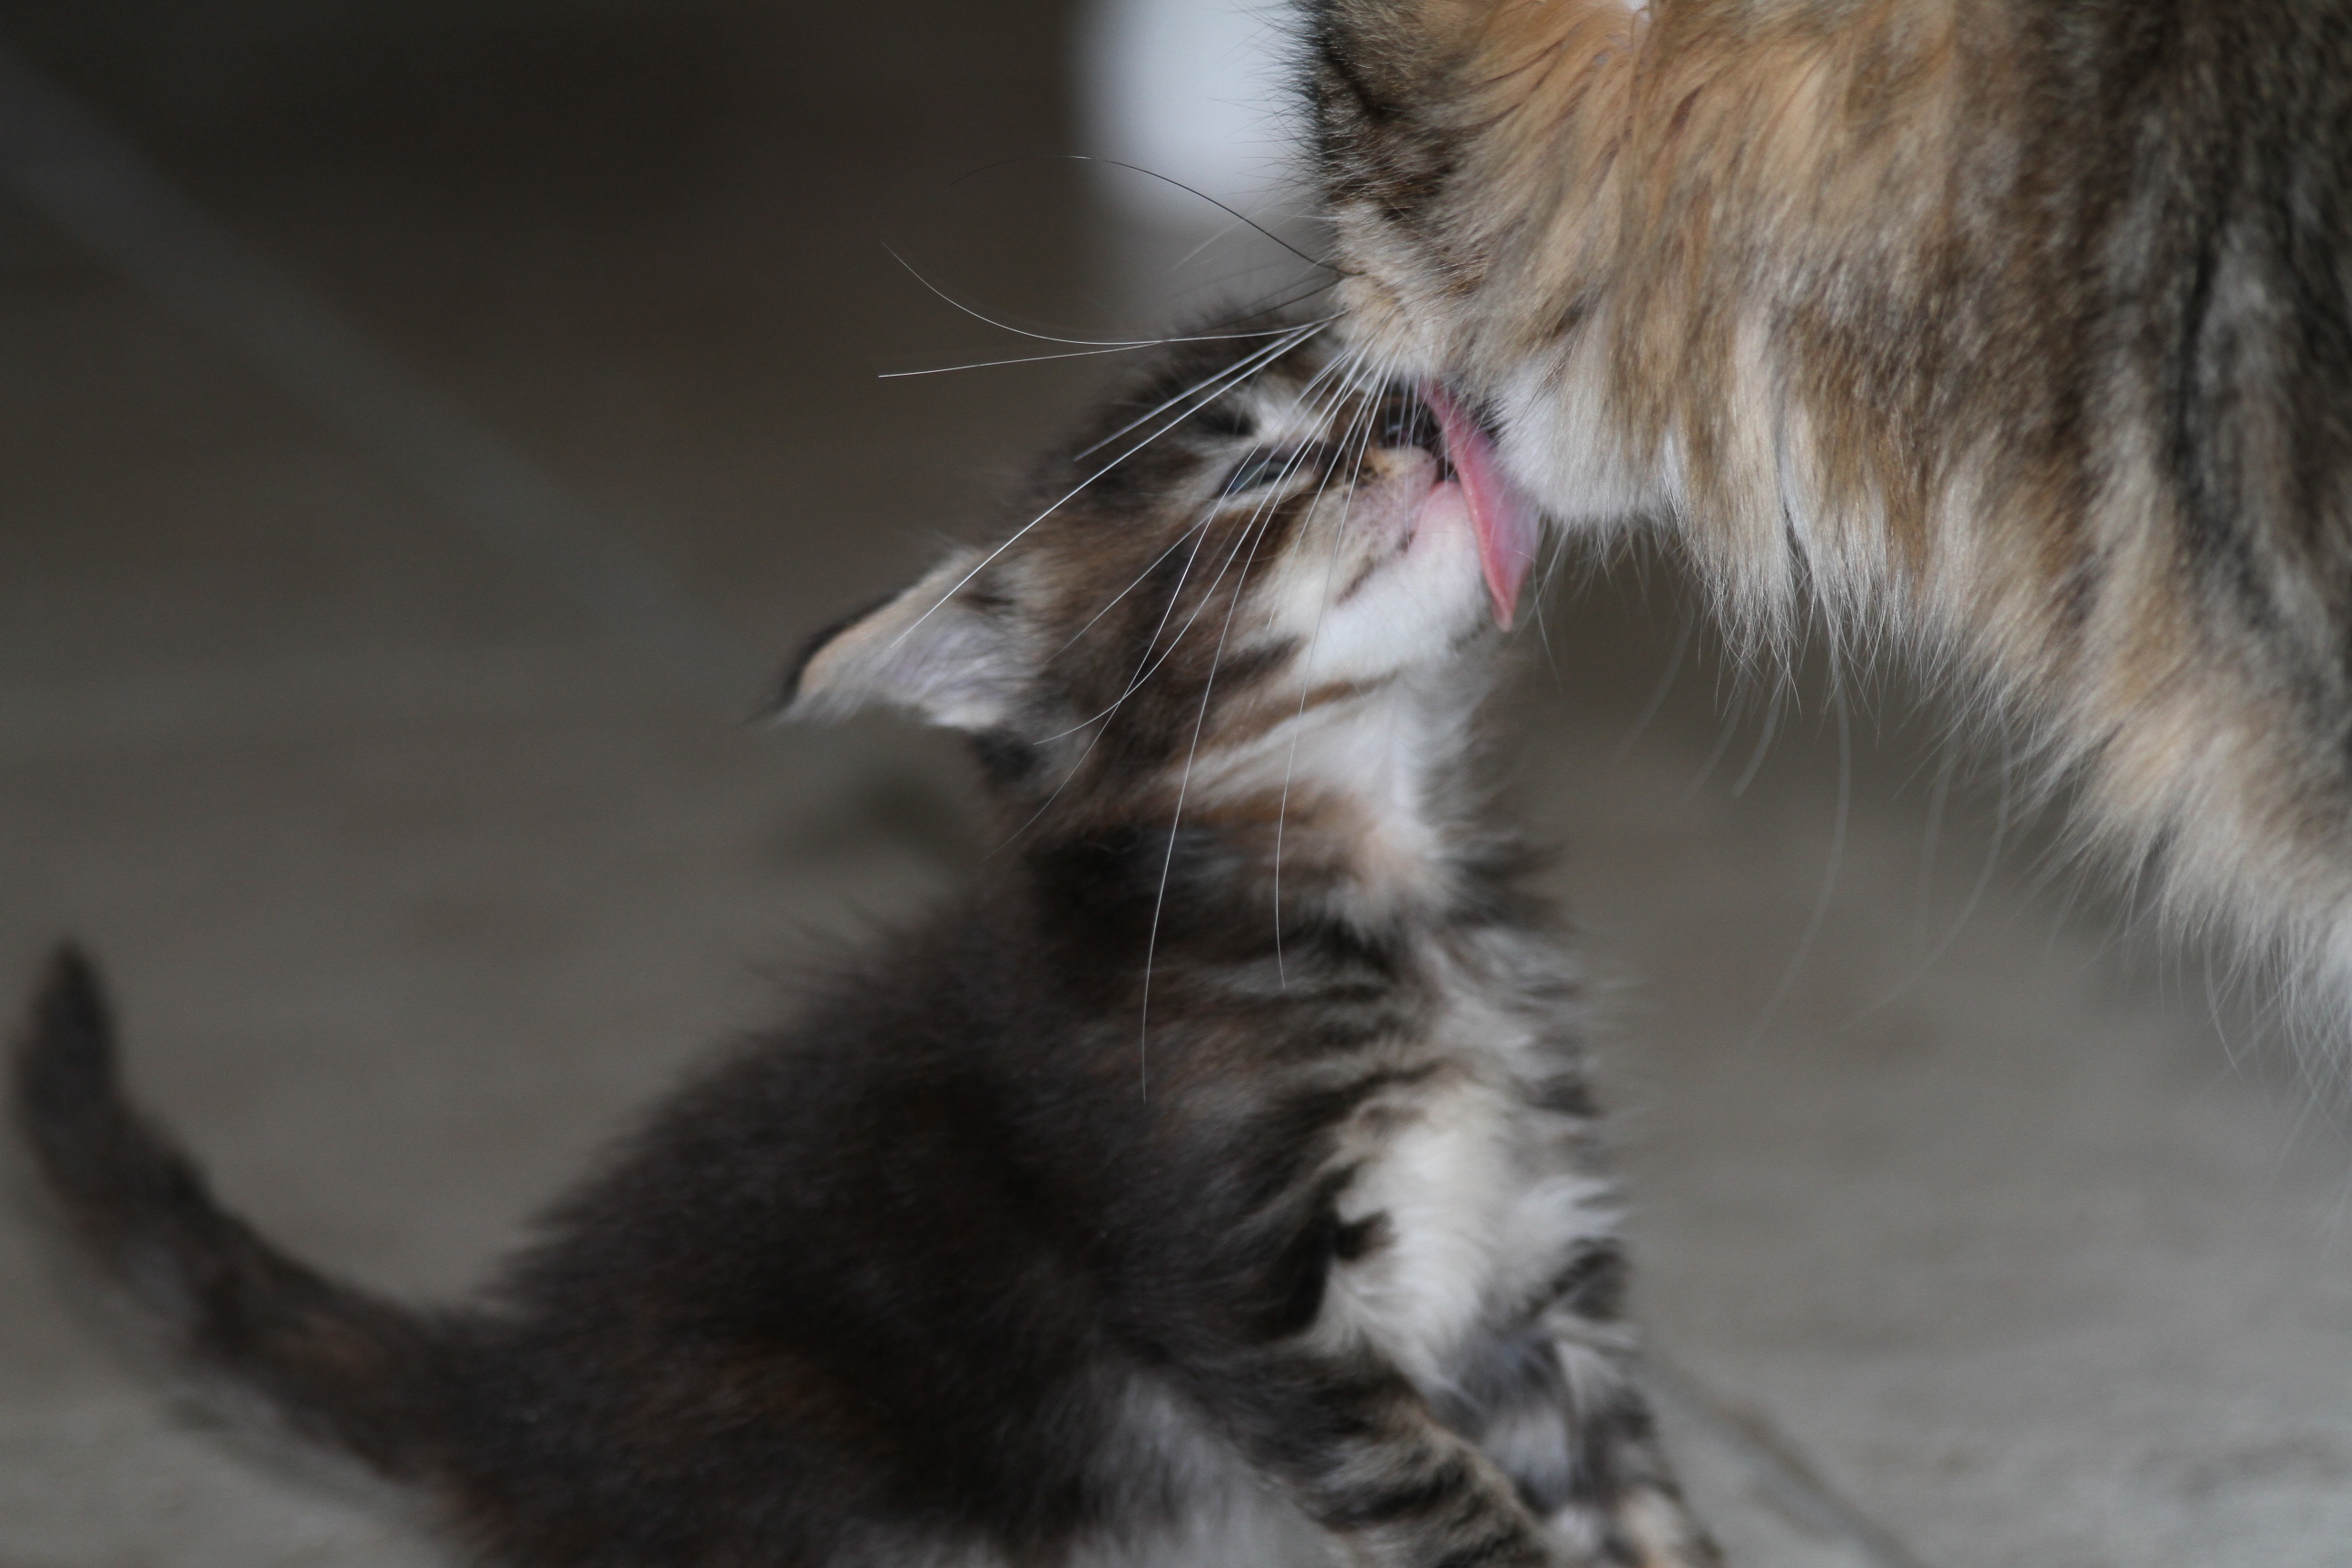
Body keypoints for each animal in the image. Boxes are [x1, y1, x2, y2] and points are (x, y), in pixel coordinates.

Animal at [14, 319, 1711, 1568]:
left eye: (1400, 399)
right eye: (1253, 466)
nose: (1427, 425)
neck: (1386, 890)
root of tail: (513, 1399)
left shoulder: (1531, 1270)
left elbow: (1633, 1504)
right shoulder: (1251, 1308)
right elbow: (1465, 1517)